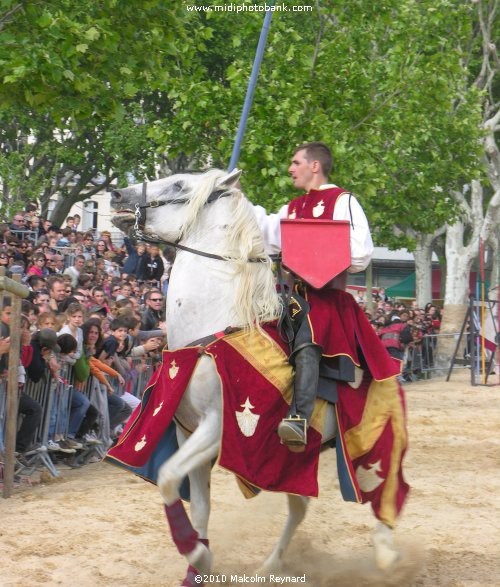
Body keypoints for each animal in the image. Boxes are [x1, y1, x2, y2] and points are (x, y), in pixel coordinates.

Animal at [110, 168, 398, 584]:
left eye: (179, 184)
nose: (117, 195)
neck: (212, 326)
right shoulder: (185, 430)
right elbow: (196, 503)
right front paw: (197, 565)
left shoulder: (217, 427)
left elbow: (165, 475)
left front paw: (196, 552)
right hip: (296, 459)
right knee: (299, 509)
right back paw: (271, 564)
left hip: (372, 435)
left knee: (386, 490)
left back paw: (387, 554)